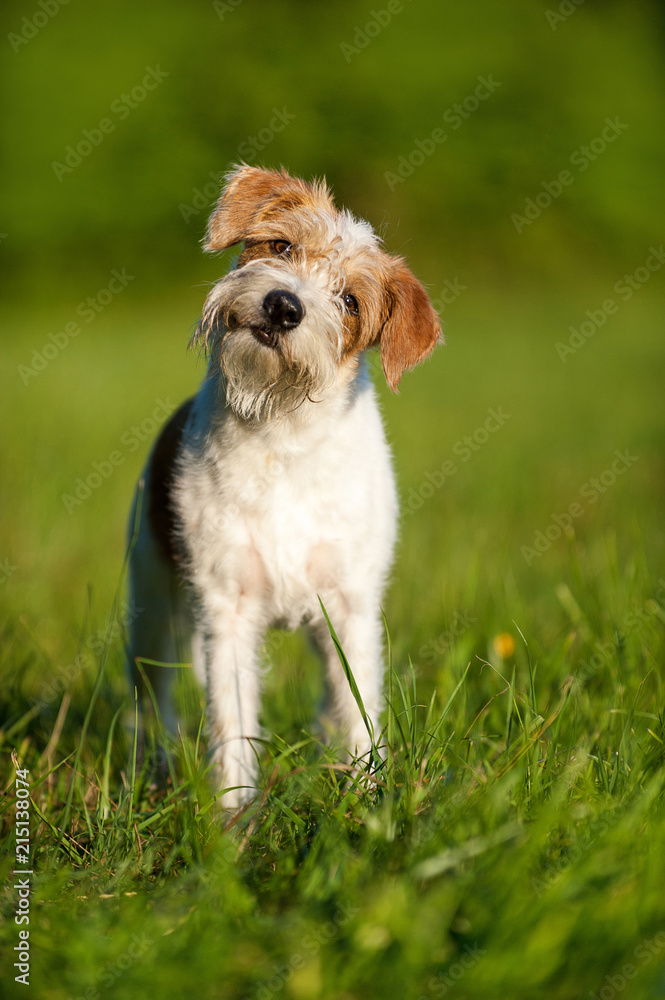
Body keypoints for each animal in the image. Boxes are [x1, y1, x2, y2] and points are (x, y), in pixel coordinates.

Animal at [127, 164, 444, 804]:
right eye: (280, 247)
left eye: (350, 301)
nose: (283, 306)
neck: (281, 437)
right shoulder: (226, 609)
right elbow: (232, 722)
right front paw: (233, 815)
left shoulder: (350, 609)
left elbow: (357, 708)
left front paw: (368, 799)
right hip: (149, 604)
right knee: (153, 702)